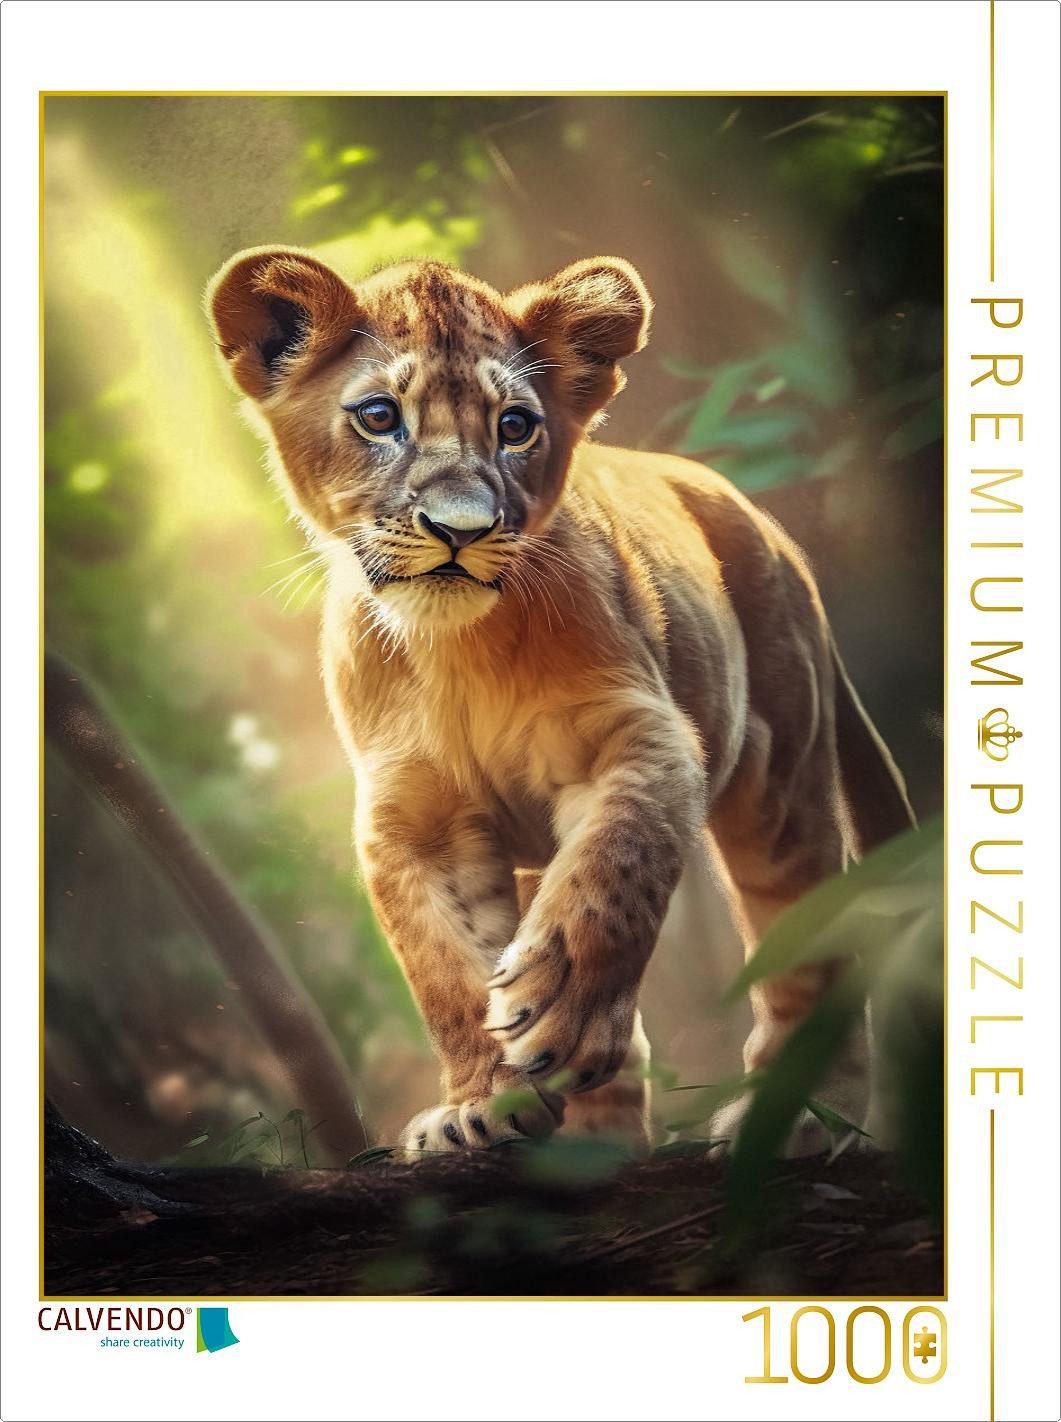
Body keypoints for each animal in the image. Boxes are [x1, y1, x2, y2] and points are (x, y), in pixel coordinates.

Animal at [206, 246, 915, 1158]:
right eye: (377, 417)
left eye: (515, 427)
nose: (460, 529)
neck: (453, 652)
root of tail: (772, 530)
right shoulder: (413, 814)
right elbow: (442, 967)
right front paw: (482, 1104)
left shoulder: (642, 736)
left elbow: (613, 870)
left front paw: (560, 1013)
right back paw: (595, 1143)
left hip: (782, 784)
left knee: (808, 943)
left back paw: (799, 1118)